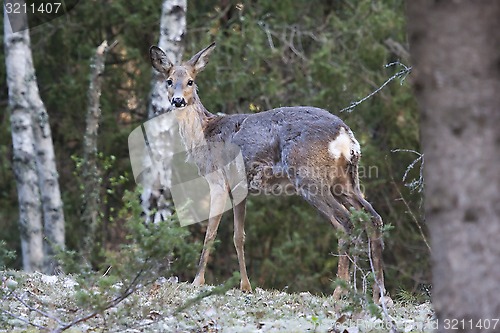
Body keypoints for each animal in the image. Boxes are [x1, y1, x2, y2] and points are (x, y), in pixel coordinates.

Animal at [148, 41, 386, 300]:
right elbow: (238, 236)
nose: (177, 100)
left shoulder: (218, 179)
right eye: (169, 80)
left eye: (190, 81)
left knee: (346, 224)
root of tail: (346, 136)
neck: (204, 134)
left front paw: (197, 281)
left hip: (309, 179)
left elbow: (210, 233)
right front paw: (245, 286)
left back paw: (338, 293)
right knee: (373, 218)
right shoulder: (240, 188)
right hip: (347, 181)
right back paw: (379, 293)